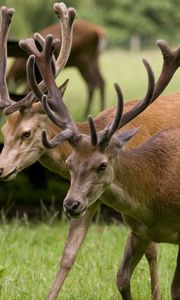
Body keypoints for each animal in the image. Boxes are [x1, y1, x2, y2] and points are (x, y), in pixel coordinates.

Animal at [0, 2, 180, 300]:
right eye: (3, 132)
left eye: (26, 133)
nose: (1, 168)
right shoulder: (90, 198)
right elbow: (68, 255)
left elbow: (153, 253)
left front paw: (156, 293)